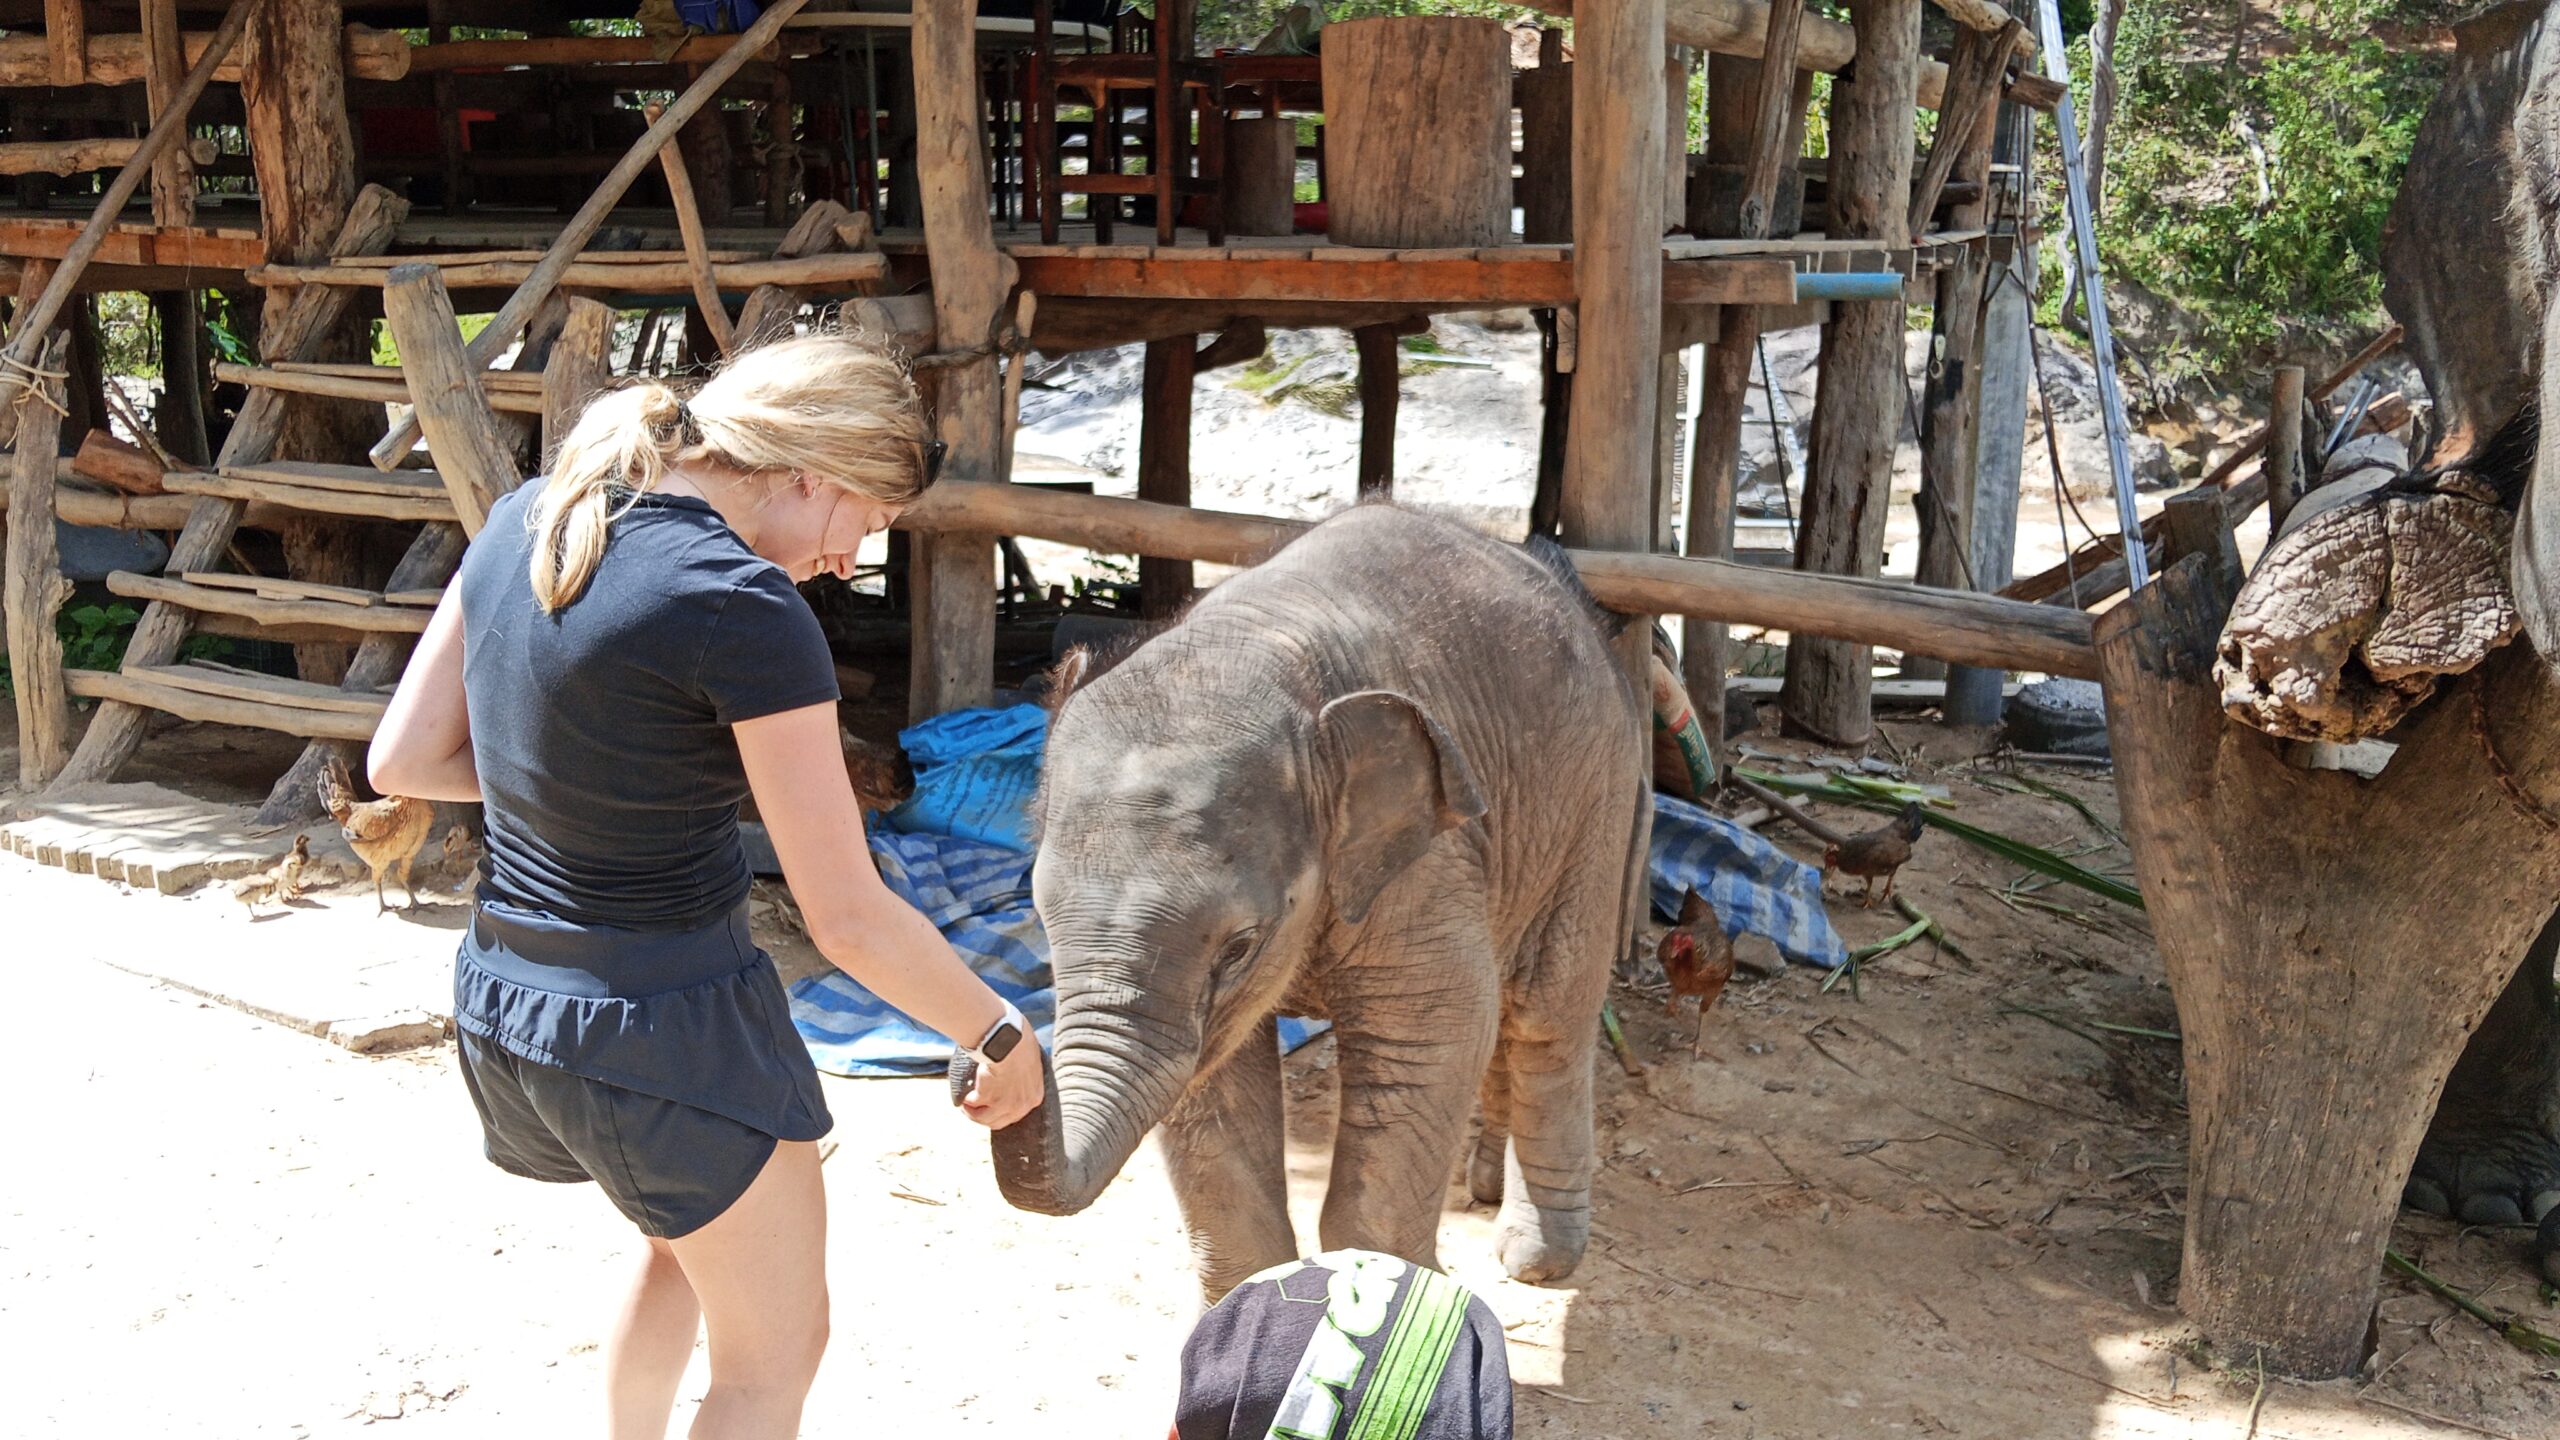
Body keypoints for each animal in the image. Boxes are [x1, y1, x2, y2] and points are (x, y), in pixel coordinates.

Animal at [966, 504, 1648, 1300]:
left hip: (1599, 797)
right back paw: (1481, 1189)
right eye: (1039, 920)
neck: (1252, 654)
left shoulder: (1428, 861)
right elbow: (1211, 1081)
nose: (987, 1060)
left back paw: (1537, 1260)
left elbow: (1435, 1032)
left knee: (1547, 1012)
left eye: (1239, 946)